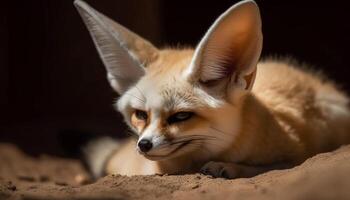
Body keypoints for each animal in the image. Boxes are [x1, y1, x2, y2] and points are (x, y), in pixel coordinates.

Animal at [74, 0, 350, 178]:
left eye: (181, 116)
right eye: (140, 115)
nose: (144, 145)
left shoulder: (299, 152)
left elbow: (278, 165)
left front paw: (228, 167)